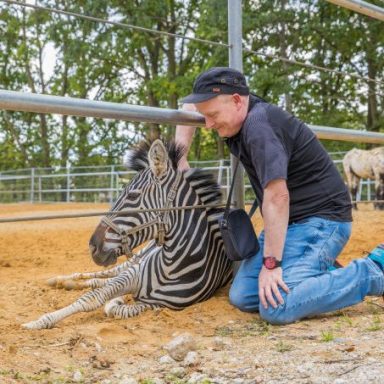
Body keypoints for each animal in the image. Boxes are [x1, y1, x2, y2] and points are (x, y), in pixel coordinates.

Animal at [22, 140, 232, 328]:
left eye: (132, 195)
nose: (92, 246)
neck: (172, 266)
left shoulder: (160, 304)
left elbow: (116, 307)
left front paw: (118, 301)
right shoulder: (132, 274)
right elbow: (92, 297)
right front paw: (37, 322)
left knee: (99, 280)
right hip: (136, 258)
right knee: (101, 275)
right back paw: (61, 280)